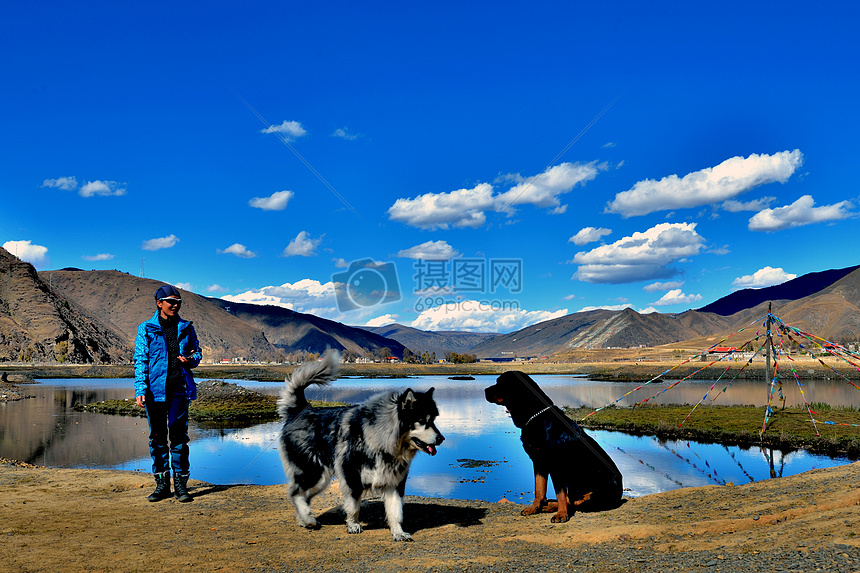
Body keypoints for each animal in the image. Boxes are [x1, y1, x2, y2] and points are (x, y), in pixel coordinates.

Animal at [278, 348, 446, 540]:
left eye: (433, 420)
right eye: (422, 421)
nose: (441, 438)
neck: (382, 437)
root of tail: (300, 410)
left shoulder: (394, 482)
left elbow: (395, 512)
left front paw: (398, 532)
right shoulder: (352, 477)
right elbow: (353, 507)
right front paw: (353, 525)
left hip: (319, 479)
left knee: (301, 495)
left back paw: (304, 520)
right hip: (315, 474)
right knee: (295, 492)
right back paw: (308, 518)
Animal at [484, 368, 624, 520]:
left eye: (500, 383)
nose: (485, 390)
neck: (538, 417)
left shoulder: (556, 465)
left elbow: (560, 493)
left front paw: (561, 515)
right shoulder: (539, 462)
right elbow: (539, 489)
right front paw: (534, 508)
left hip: (593, 491)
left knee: (574, 502)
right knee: (571, 499)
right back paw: (546, 506)